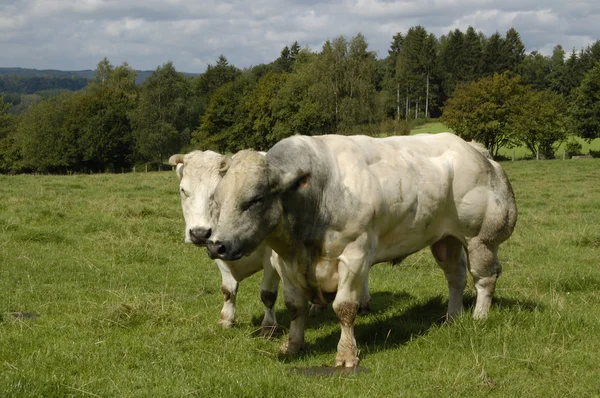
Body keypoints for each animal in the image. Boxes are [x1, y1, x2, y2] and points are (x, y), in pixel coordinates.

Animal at [169, 151, 282, 334]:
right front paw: (226, 319)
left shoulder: (273, 257)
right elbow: (228, 290)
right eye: (183, 190)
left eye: (216, 193)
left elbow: (267, 294)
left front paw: (269, 327)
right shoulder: (217, 249)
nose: (199, 233)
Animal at [205, 133, 516, 366]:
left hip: (481, 238)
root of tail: (476, 150)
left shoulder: (354, 256)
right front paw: (292, 345)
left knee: (484, 278)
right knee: (456, 277)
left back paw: (478, 317)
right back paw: (452, 318)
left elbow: (344, 308)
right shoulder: (286, 263)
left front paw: (346, 355)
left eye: (255, 199)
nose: (216, 245)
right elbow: (295, 308)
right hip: (445, 240)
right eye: (217, 199)